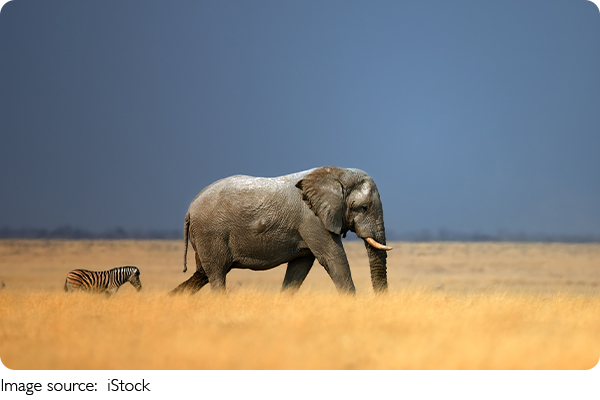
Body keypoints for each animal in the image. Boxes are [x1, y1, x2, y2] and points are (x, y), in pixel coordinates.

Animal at [171, 165, 392, 294]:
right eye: (363, 208)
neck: (337, 173)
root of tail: (190, 209)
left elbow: (300, 267)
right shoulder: (312, 219)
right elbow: (334, 258)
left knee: (201, 274)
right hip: (210, 233)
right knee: (216, 275)